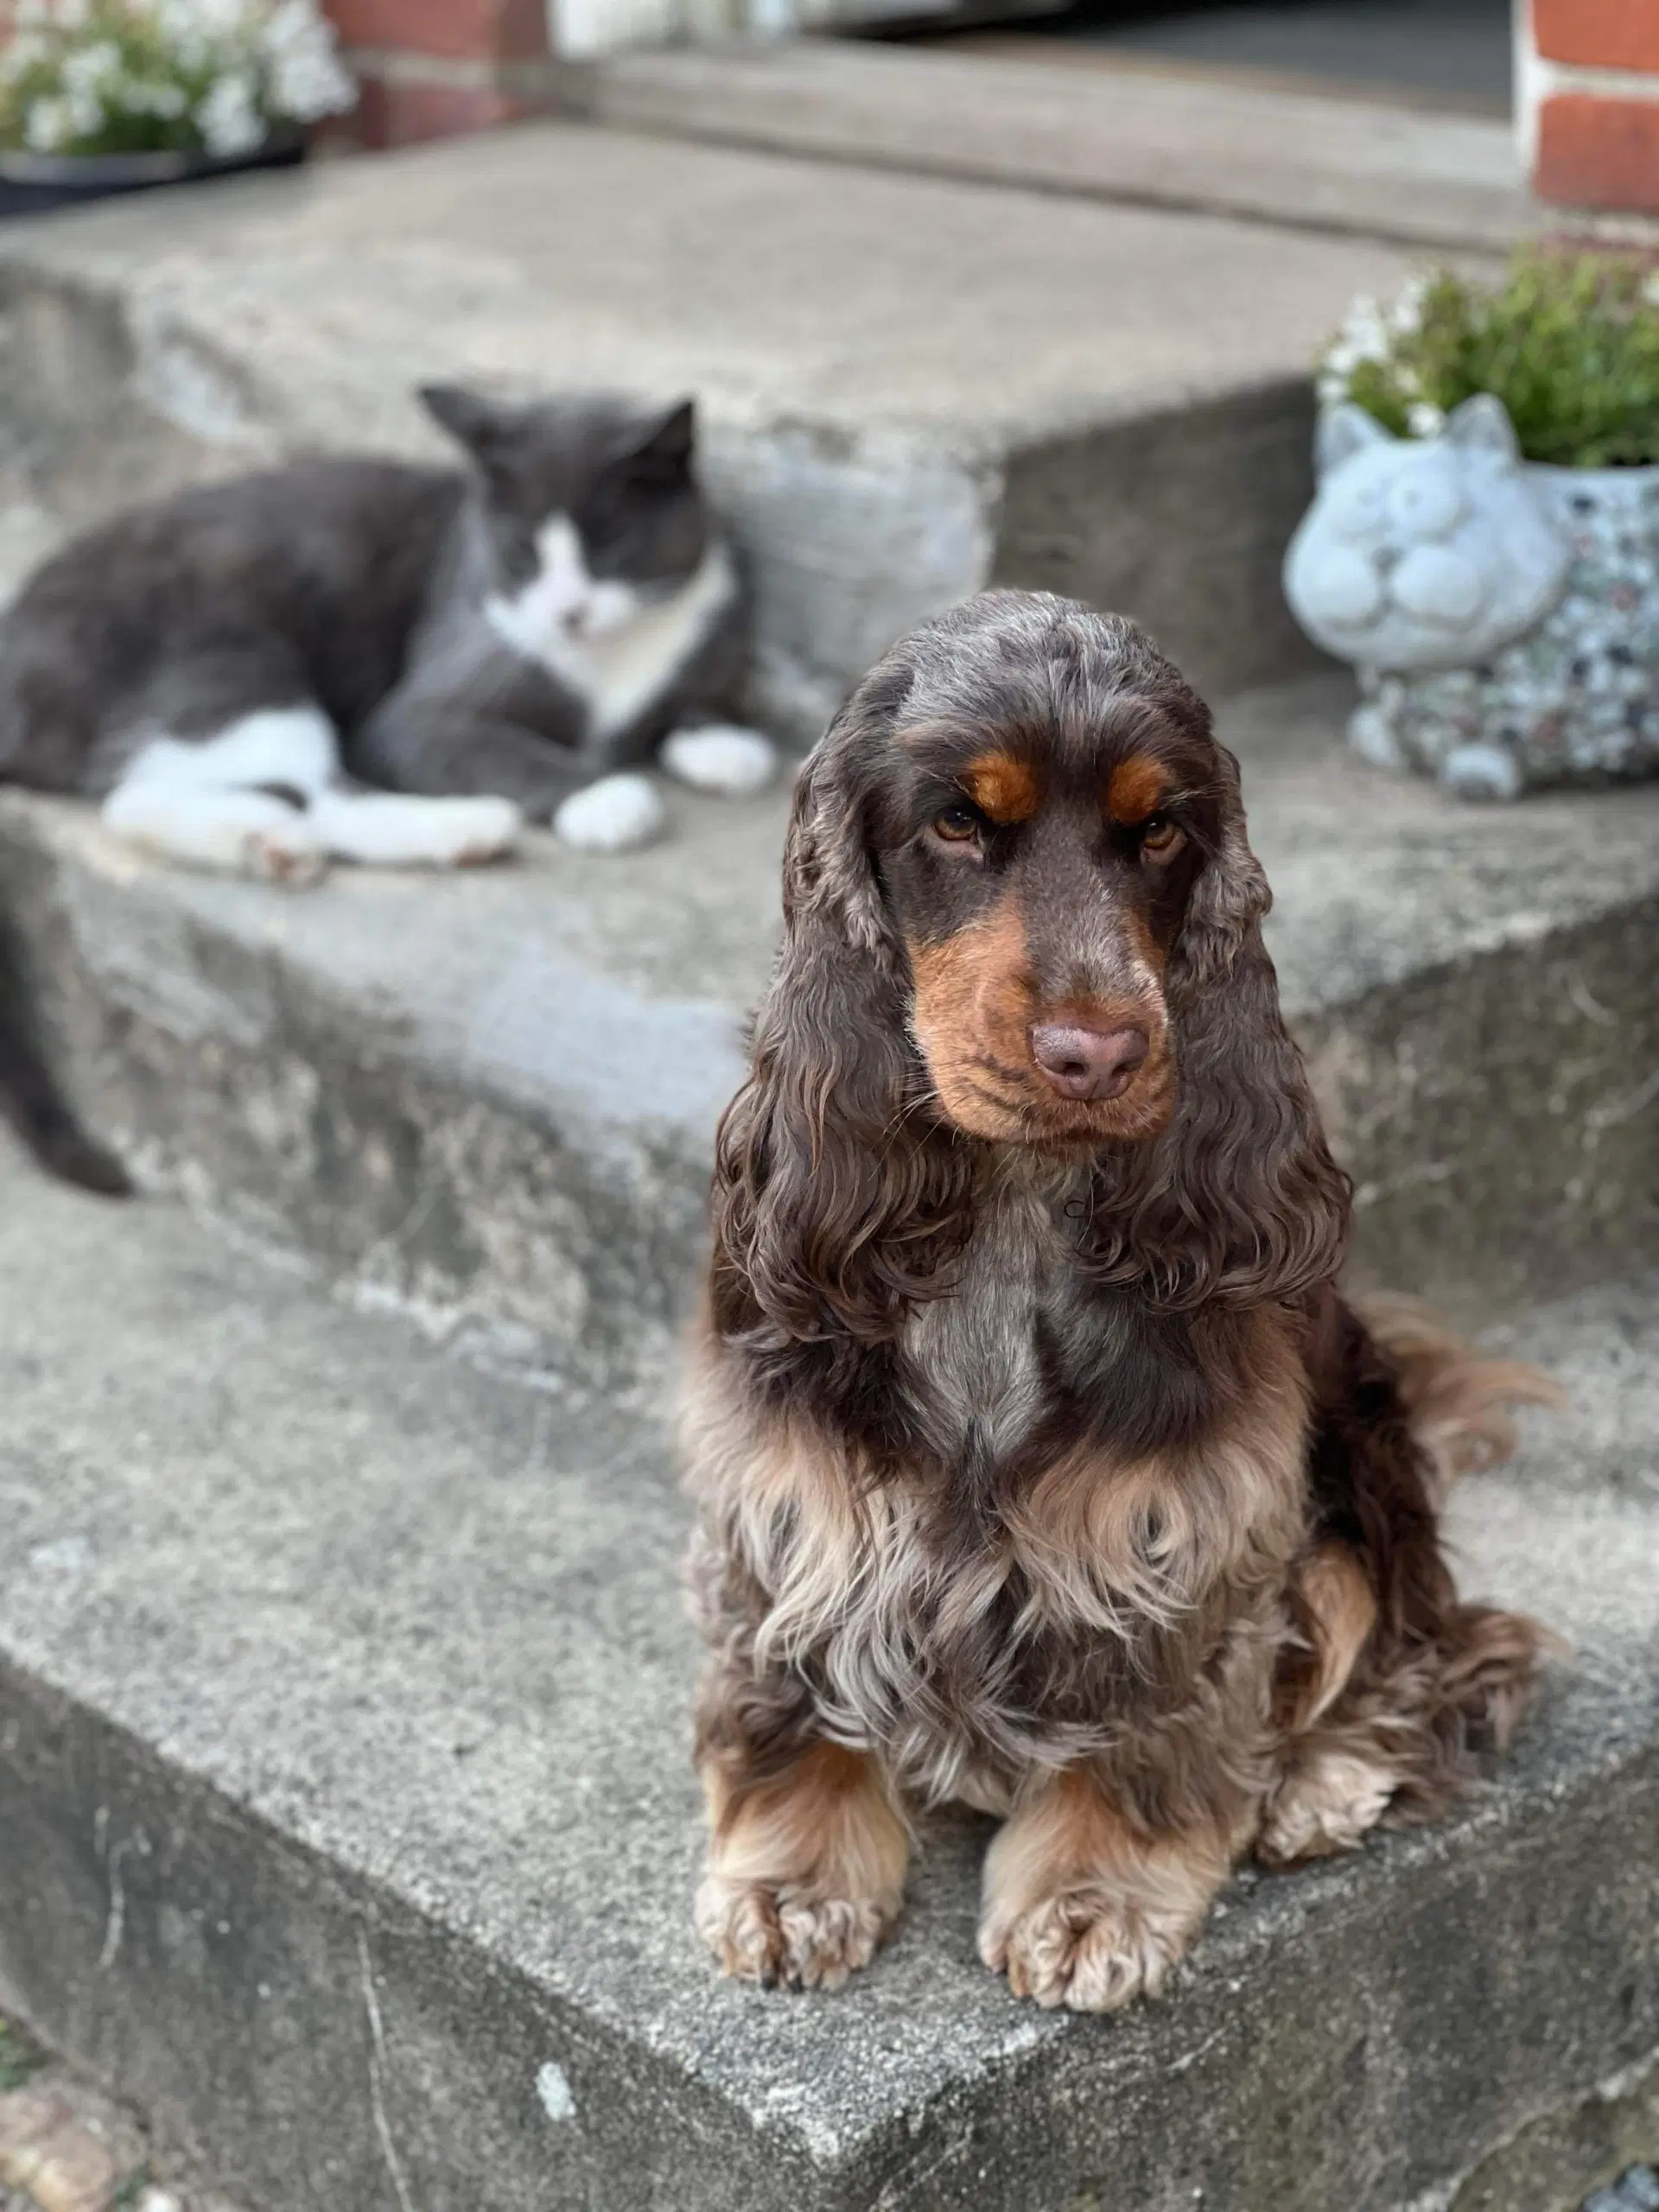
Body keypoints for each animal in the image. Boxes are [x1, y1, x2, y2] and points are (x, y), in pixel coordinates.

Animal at [0, 385, 779, 875]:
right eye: (519, 550)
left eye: (610, 544)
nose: (568, 612)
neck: (608, 660)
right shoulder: (427, 697)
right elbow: (493, 746)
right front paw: (606, 797)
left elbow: (691, 699)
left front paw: (722, 744)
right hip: (232, 664)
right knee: (310, 794)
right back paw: (459, 829)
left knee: (144, 795)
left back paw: (269, 842)